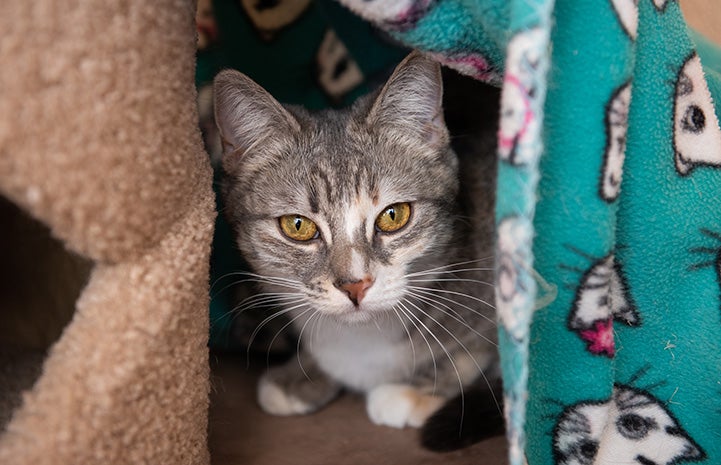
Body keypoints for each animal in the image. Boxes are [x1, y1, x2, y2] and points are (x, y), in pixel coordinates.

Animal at [211, 52, 498, 440]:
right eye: (297, 226)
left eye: (394, 215)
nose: (355, 285)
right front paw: (301, 375)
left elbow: (478, 351)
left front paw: (414, 389)